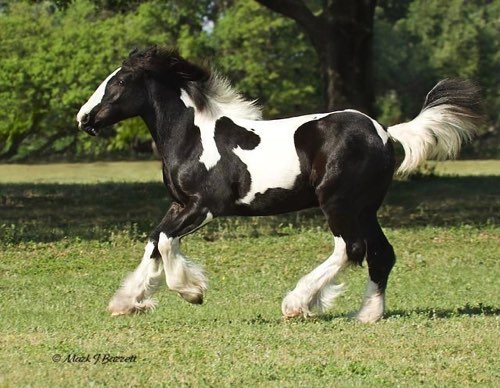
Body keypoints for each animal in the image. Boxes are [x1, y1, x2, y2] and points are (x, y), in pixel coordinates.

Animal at [76, 47, 482, 322]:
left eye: (120, 82)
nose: (84, 118)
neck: (192, 137)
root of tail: (385, 132)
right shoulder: (179, 205)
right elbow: (154, 240)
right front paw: (128, 302)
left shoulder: (204, 207)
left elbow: (163, 241)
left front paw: (193, 291)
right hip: (365, 208)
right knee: (381, 253)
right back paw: (367, 314)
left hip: (338, 203)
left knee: (350, 248)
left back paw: (297, 303)